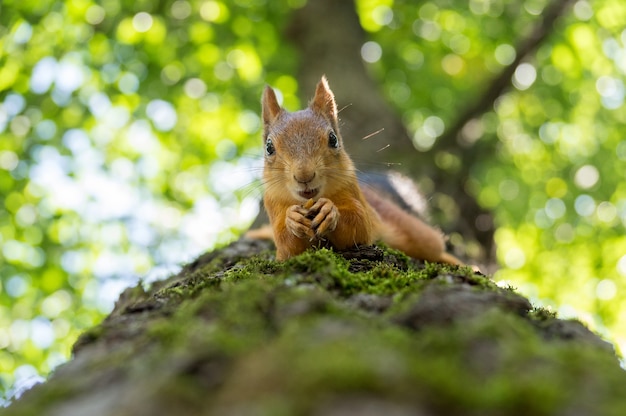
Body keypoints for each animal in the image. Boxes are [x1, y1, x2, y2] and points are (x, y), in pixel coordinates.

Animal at [247, 76, 458, 264]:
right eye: (269, 147)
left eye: (333, 139)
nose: (304, 176)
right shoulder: (273, 204)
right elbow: (286, 245)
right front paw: (292, 219)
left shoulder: (354, 194)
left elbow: (360, 226)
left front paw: (330, 211)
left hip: (411, 230)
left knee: (432, 245)